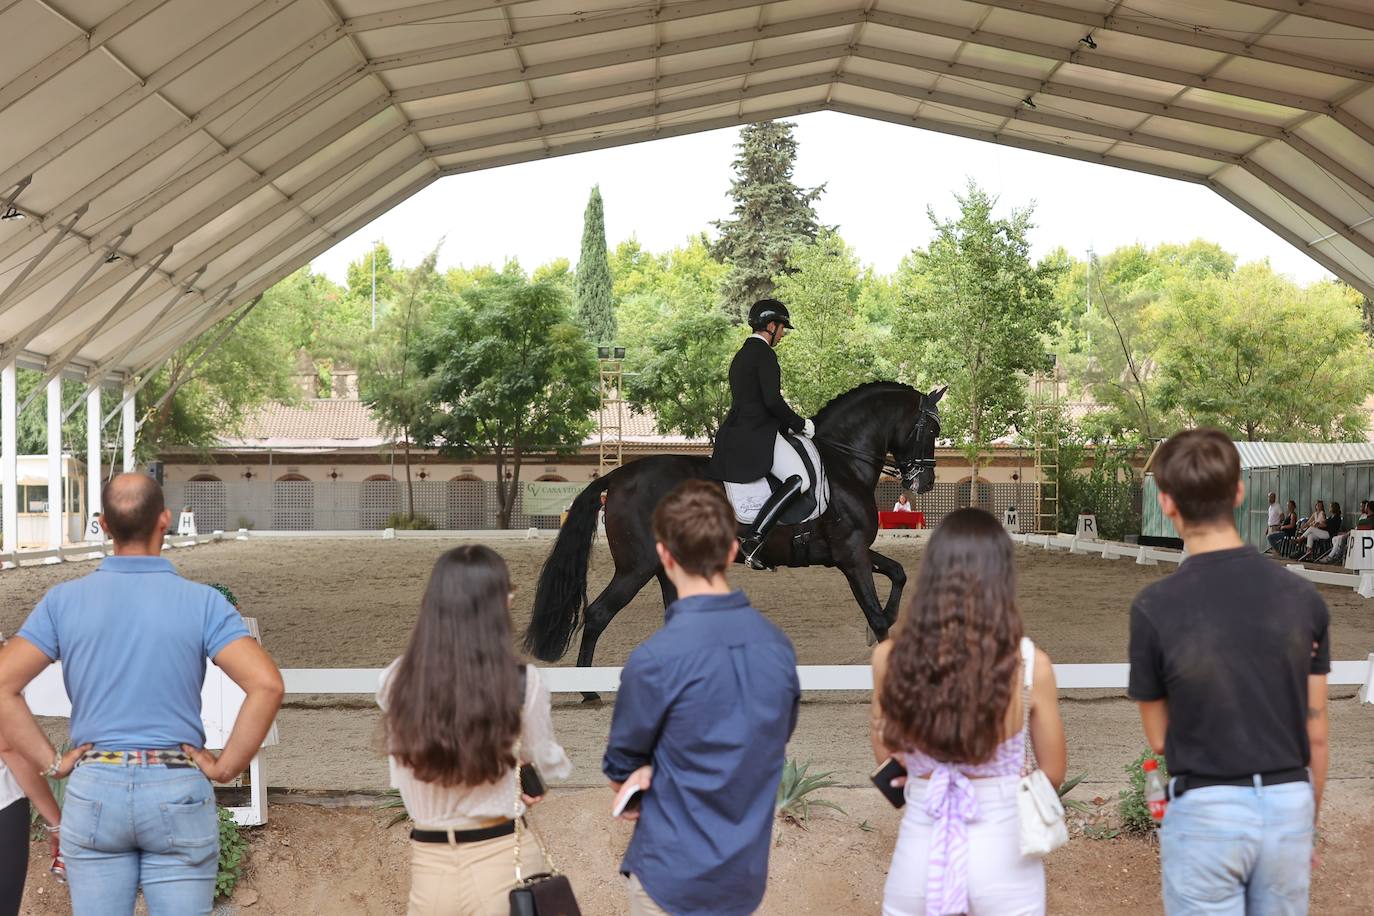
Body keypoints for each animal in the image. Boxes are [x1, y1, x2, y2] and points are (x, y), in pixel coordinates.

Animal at [519, 384, 939, 670]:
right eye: (930, 431)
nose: (924, 483)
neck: (842, 465)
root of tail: (618, 475)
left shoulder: (848, 551)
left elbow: (899, 573)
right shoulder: (850, 554)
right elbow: (875, 613)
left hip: (663, 567)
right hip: (635, 567)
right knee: (597, 614)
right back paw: (588, 689)